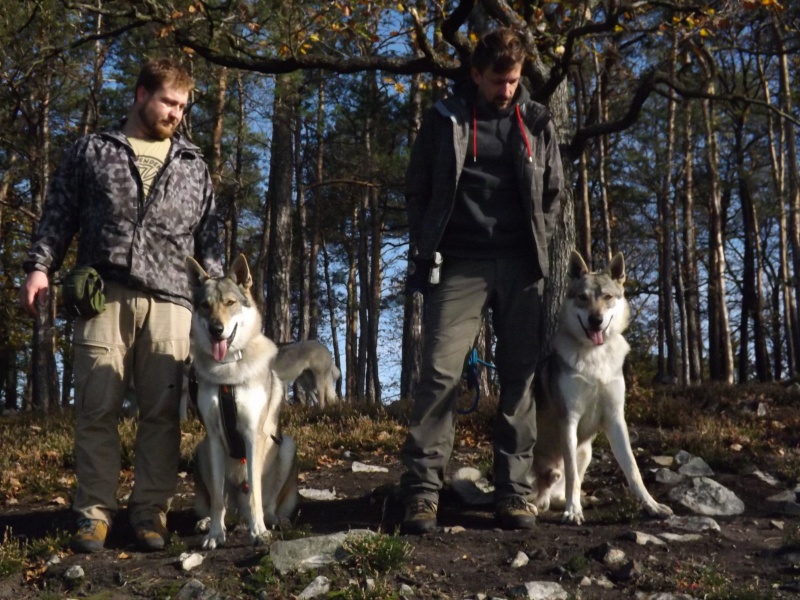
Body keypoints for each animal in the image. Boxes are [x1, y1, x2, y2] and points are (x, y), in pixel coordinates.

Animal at [186, 254, 298, 548]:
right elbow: (216, 499)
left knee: (264, 504)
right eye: (205, 306)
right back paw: (208, 522)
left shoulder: (252, 435)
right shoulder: (213, 438)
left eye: (230, 303)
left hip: (286, 446)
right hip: (201, 450)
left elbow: (256, 495)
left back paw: (272, 521)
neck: (228, 372)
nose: (216, 330)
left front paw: (258, 533)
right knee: (223, 502)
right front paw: (215, 534)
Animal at [532, 251, 676, 524]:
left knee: (556, 495)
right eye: (582, 297)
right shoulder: (569, 419)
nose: (595, 320)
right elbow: (572, 477)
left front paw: (652, 505)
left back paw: (586, 500)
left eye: (607, 297)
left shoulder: (615, 419)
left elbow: (633, 469)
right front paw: (573, 512)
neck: (595, 356)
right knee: (542, 495)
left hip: (585, 451)